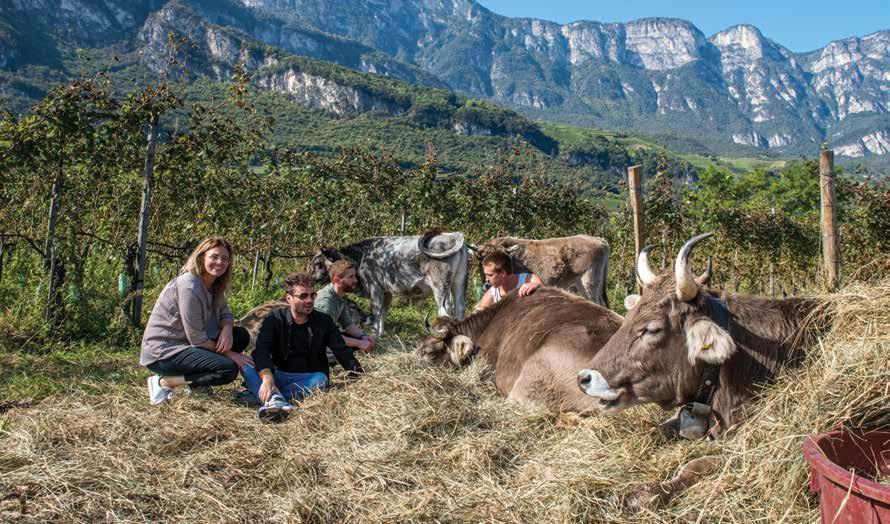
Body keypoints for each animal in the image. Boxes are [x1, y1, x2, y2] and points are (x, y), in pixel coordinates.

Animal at [308, 229, 468, 336]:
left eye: (318, 263)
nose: (310, 279)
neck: (361, 257)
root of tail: (450, 235)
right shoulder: (387, 292)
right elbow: (383, 314)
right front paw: (380, 335)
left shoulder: (375, 288)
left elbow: (376, 312)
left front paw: (374, 335)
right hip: (458, 286)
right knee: (460, 313)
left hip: (439, 288)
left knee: (445, 314)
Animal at [576, 233, 824, 508]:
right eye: (628, 318)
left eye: (651, 329)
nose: (584, 378)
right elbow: (656, 429)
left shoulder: (756, 444)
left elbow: (695, 465)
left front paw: (645, 492)